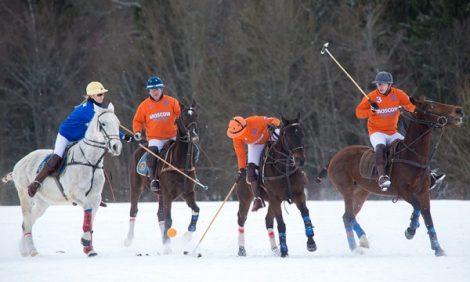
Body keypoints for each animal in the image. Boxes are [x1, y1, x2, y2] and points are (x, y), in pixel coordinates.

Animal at [1, 103, 122, 258]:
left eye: (118, 123)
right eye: (103, 124)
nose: (116, 147)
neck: (91, 161)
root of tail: (18, 164)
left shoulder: (95, 197)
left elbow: (91, 218)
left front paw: (89, 248)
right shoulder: (76, 194)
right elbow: (88, 211)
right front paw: (85, 242)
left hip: (42, 203)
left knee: (27, 222)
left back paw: (24, 250)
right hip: (25, 196)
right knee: (27, 222)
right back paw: (33, 251)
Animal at [124, 101, 199, 251]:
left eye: (196, 115)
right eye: (183, 116)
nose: (194, 136)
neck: (180, 162)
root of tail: (140, 147)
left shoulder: (188, 192)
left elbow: (196, 210)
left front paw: (187, 235)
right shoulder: (169, 194)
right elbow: (169, 219)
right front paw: (167, 244)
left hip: (160, 194)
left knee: (160, 215)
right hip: (136, 186)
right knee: (133, 210)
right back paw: (129, 240)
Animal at [235, 114, 316, 258]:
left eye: (302, 134)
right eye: (288, 135)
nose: (300, 160)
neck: (283, 168)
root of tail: (242, 168)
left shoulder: (299, 194)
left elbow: (306, 215)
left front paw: (311, 243)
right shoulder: (276, 198)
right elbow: (281, 224)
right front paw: (284, 249)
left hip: (270, 201)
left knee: (268, 220)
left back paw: (274, 249)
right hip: (246, 199)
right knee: (241, 219)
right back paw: (242, 249)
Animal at [324, 96, 462, 256]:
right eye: (431, 106)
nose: (459, 110)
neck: (412, 156)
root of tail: (334, 158)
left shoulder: (423, 193)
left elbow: (428, 217)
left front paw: (438, 249)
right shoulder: (404, 191)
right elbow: (417, 207)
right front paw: (410, 231)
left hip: (361, 192)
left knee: (347, 216)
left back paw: (357, 245)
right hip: (346, 189)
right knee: (349, 216)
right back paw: (360, 244)